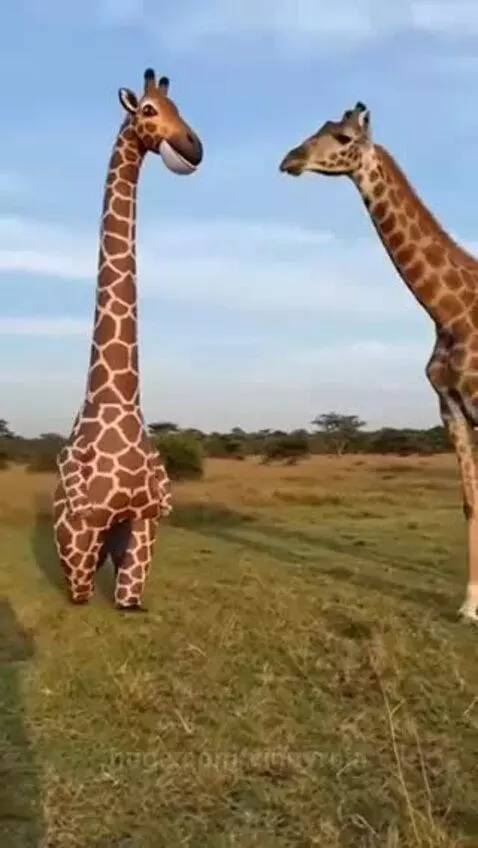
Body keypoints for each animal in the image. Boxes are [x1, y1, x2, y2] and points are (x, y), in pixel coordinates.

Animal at [53, 68, 203, 611]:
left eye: (181, 108)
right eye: (148, 111)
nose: (194, 146)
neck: (119, 401)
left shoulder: (146, 518)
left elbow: (130, 595)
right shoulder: (83, 526)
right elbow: (81, 588)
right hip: (75, 537)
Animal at [279, 100, 478, 622]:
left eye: (345, 137)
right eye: (322, 127)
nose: (290, 159)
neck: (447, 313)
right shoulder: (450, 406)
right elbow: (470, 502)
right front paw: (470, 605)